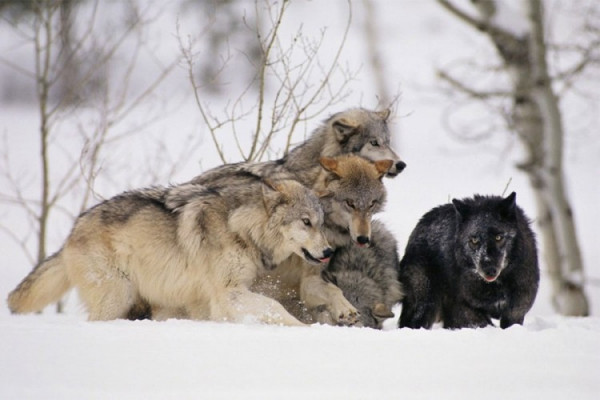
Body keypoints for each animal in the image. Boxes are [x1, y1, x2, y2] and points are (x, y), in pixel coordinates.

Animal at [7, 178, 330, 324]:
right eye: (306, 222)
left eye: (321, 223)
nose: (328, 251)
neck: (241, 228)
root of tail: (71, 233)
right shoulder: (229, 292)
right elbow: (276, 307)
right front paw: (302, 329)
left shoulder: (210, 300)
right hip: (117, 298)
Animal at [398, 192, 540, 330]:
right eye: (474, 240)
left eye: (499, 237)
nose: (489, 270)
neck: (495, 286)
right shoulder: (462, 308)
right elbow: (482, 323)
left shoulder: (516, 310)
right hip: (425, 302)